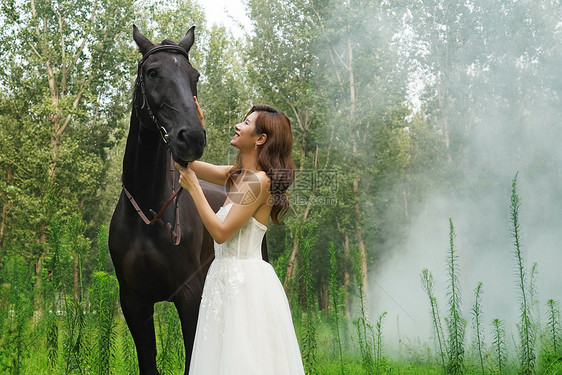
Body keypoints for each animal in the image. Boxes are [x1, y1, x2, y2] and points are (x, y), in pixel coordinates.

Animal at [108, 27, 224, 375]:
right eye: (152, 72)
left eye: (194, 75)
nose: (193, 138)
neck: (148, 213)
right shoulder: (134, 302)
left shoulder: (189, 295)